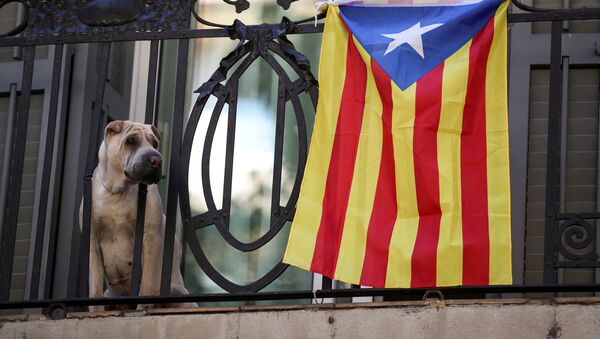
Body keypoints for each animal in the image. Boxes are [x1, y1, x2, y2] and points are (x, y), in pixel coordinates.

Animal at [79, 121, 191, 312]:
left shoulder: (150, 238)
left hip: (177, 293)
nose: (157, 159)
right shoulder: (92, 242)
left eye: (154, 143)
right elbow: (95, 288)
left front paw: (142, 309)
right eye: (131, 141)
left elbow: (147, 283)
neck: (118, 192)